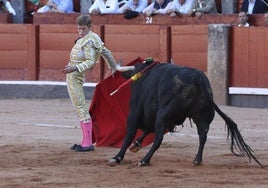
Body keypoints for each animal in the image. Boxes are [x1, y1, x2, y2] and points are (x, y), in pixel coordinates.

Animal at [107, 59, 262, 166]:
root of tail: (198, 79)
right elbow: (147, 130)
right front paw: (136, 145)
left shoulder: (136, 112)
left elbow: (130, 134)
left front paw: (117, 157)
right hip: (203, 117)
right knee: (203, 137)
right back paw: (197, 160)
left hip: (163, 114)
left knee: (158, 138)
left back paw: (144, 160)